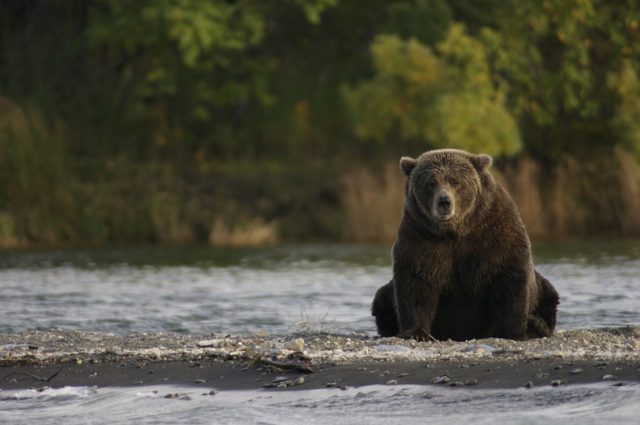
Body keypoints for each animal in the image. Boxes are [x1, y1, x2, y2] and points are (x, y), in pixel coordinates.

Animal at [371, 149, 559, 341]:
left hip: (542, 290)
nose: (444, 202)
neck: (456, 231)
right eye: (431, 182)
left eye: (455, 181)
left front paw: (513, 332)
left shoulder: (494, 232)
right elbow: (416, 281)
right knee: (381, 299)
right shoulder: (420, 235)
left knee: (548, 295)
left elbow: (508, 279)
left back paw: (536, 325)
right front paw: (415, 332)